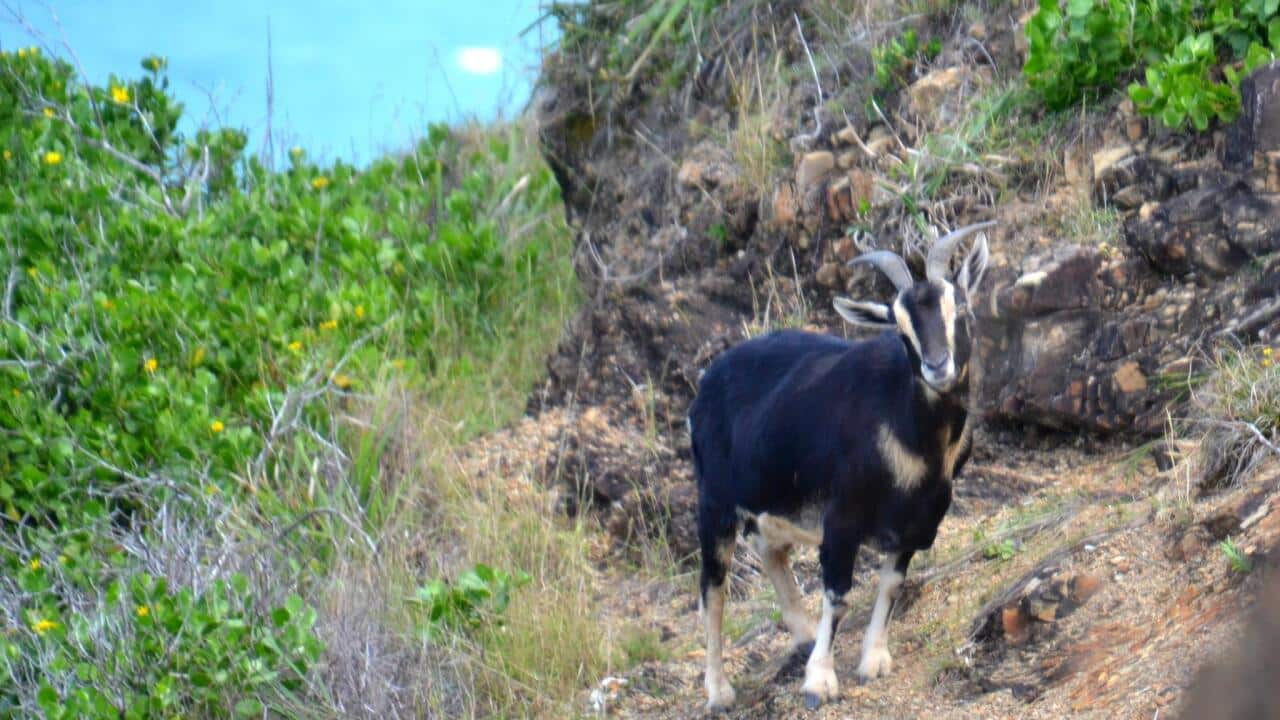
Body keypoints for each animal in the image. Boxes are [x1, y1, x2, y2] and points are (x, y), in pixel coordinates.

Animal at [687, 221, 993, 711]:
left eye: (960, 308)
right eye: (899, 327)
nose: (937, 366)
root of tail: (706, 384)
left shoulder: (918, 520)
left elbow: (891, 584)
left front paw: (873, 659)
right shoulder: (841, 518)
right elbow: (838, 594)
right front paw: (820, 681)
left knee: (771, 552)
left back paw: (802, 636)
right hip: (714, 502)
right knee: (712, 590)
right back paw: (719, 692)